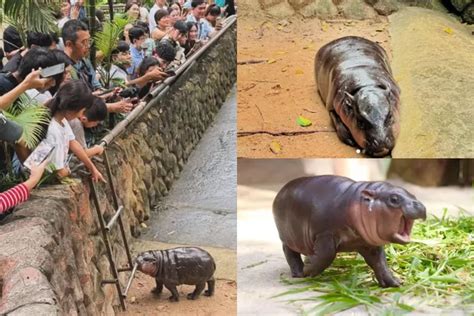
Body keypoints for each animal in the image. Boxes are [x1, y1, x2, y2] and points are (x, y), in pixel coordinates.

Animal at [272, 175, 428, 288]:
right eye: (394, 199)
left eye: (414, 195)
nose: (420, 205)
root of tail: (281, 191)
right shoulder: (325, 235)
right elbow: (326, 255)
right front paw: (308, 269)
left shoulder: (368, 244)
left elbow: (380, 263)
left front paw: (395, 282)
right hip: (289, 237)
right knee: (289, 251)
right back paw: (299, 273)